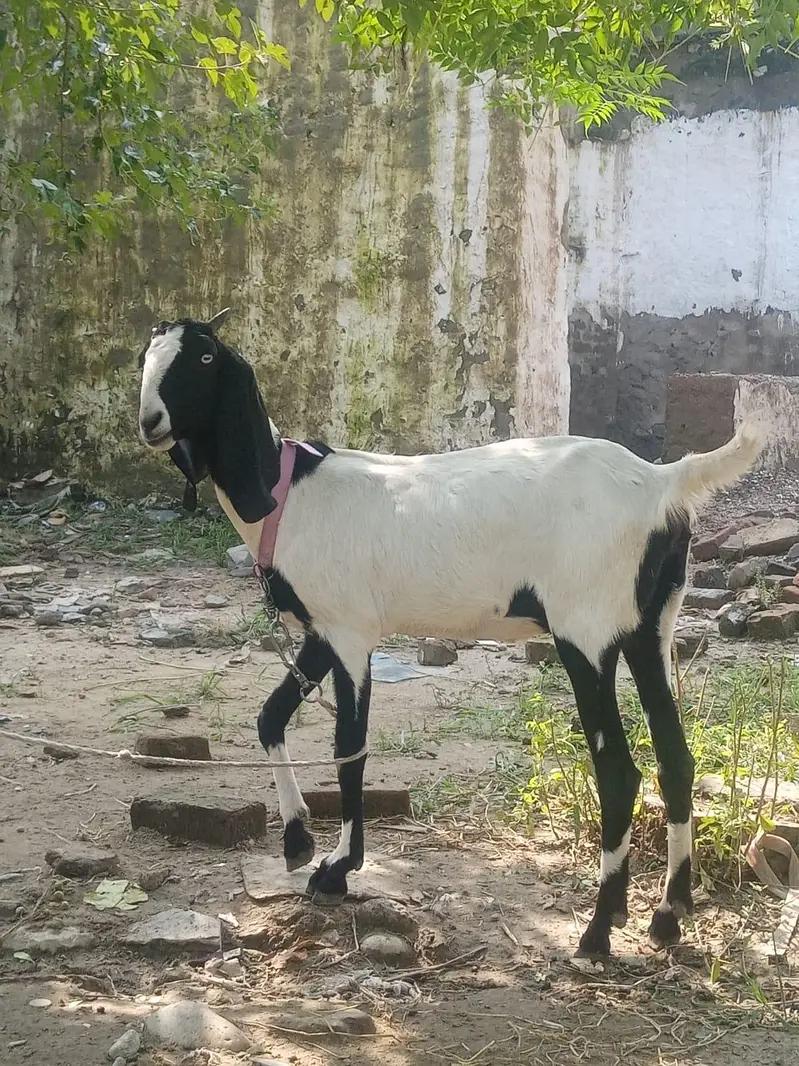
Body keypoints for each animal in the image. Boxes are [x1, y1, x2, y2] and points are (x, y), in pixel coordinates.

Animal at [137, 310, 761, 956]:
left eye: (205, 358)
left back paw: (596, 931)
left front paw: (337, 869)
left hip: (585, 631)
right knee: (675, 758)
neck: (292, 492)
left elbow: (349, 748)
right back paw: (667, 914)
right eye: (145, 356)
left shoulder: (350, 631)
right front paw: (296, 841)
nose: (150, 422)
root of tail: (661, 482)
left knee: (619, 771)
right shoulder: (319, 634)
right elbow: (269, 718)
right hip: (649, 628)